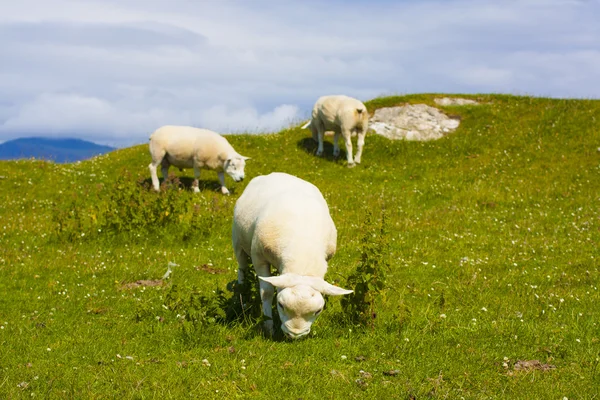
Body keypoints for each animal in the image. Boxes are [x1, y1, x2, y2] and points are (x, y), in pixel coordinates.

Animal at [230, 170, 352, 340]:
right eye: (280, 305)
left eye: (318, 311)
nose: (294, 334)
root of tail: (276, 173)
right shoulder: (259, 257)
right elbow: (267, 292)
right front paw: (268, 326)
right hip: (238, 241)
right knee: (242, 269)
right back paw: (241, 294)